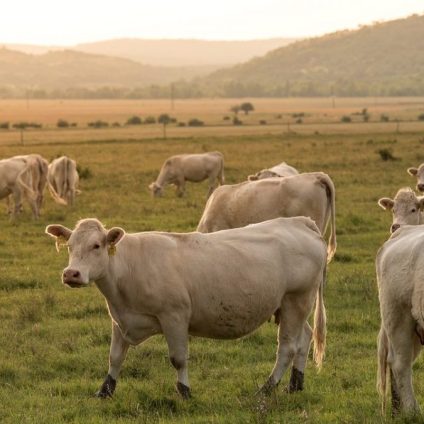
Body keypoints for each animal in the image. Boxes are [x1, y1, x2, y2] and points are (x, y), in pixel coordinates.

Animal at [44, 217, 326, 400]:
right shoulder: (120, 319)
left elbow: (178, 359)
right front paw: (105, 390)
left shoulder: (174, 317)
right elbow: (115, 357)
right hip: (290, 307)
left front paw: (185, 392)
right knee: (304, 338)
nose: (71, 274)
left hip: (296, 300)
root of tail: (299, 222)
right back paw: (295, 384)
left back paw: (267, 388)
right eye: (69, 247)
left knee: (287, 347)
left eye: (96, 245)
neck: (129, 266)